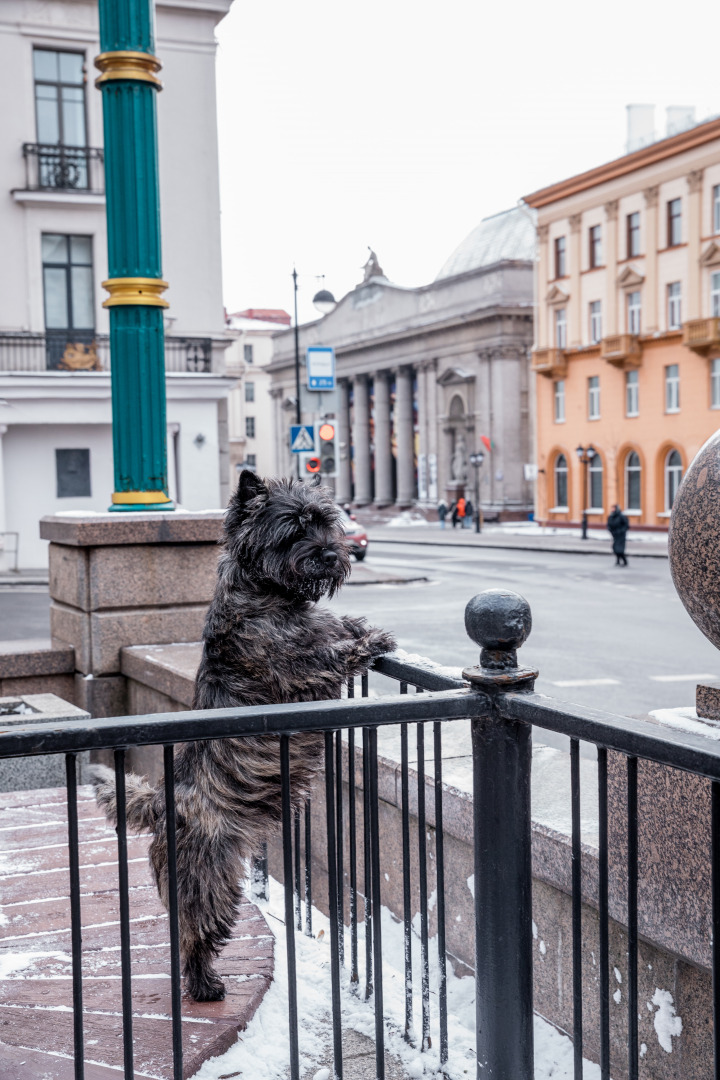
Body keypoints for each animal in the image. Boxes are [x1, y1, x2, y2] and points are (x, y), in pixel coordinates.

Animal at [92, 473, 397, 1002]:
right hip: (209, 879)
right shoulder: (294, 668)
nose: (332, 555)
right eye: (294, 530)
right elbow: (329, 653)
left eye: (325, 522)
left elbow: (332, 626)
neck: (264, 593)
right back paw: (205, 985)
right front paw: (369, 640)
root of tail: (164, 805)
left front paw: (355, 623)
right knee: (193, 934)